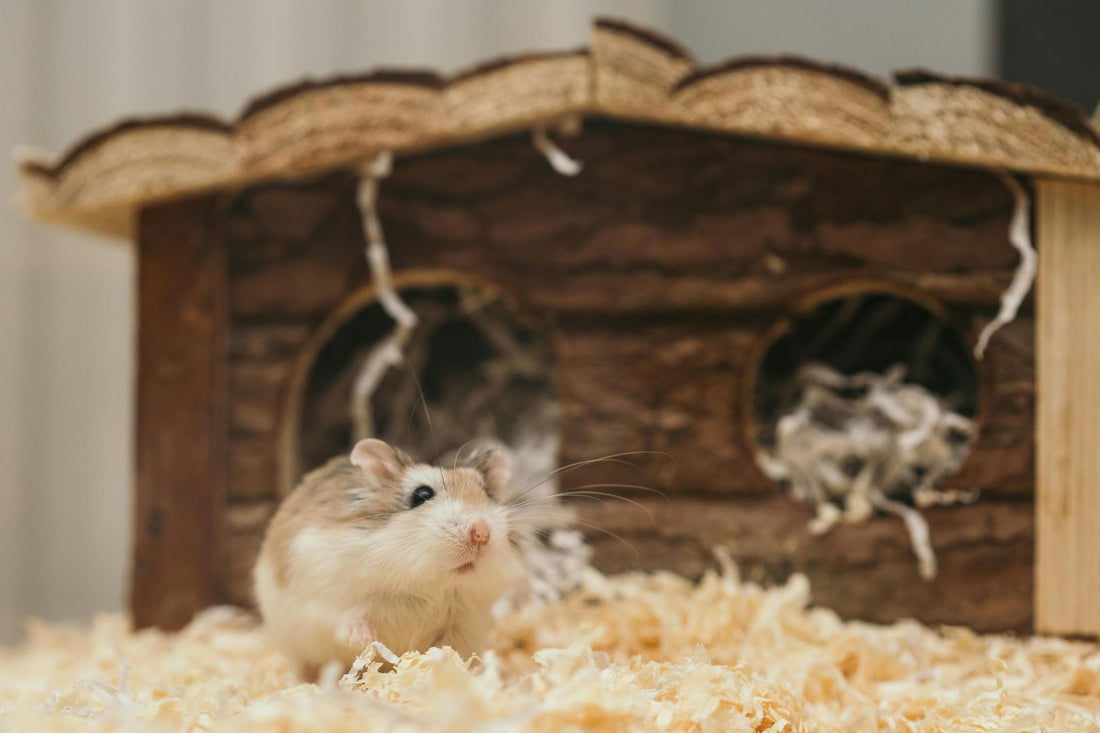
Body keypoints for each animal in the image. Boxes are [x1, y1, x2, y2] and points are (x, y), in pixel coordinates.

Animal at [253, 438, 527, 679]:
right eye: (421, 495)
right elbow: (344, 618)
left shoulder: (464, 623)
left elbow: (453, 653)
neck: (429, 585)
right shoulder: (324, 595)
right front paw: (367, 639)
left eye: (486, 492)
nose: (481, 532)